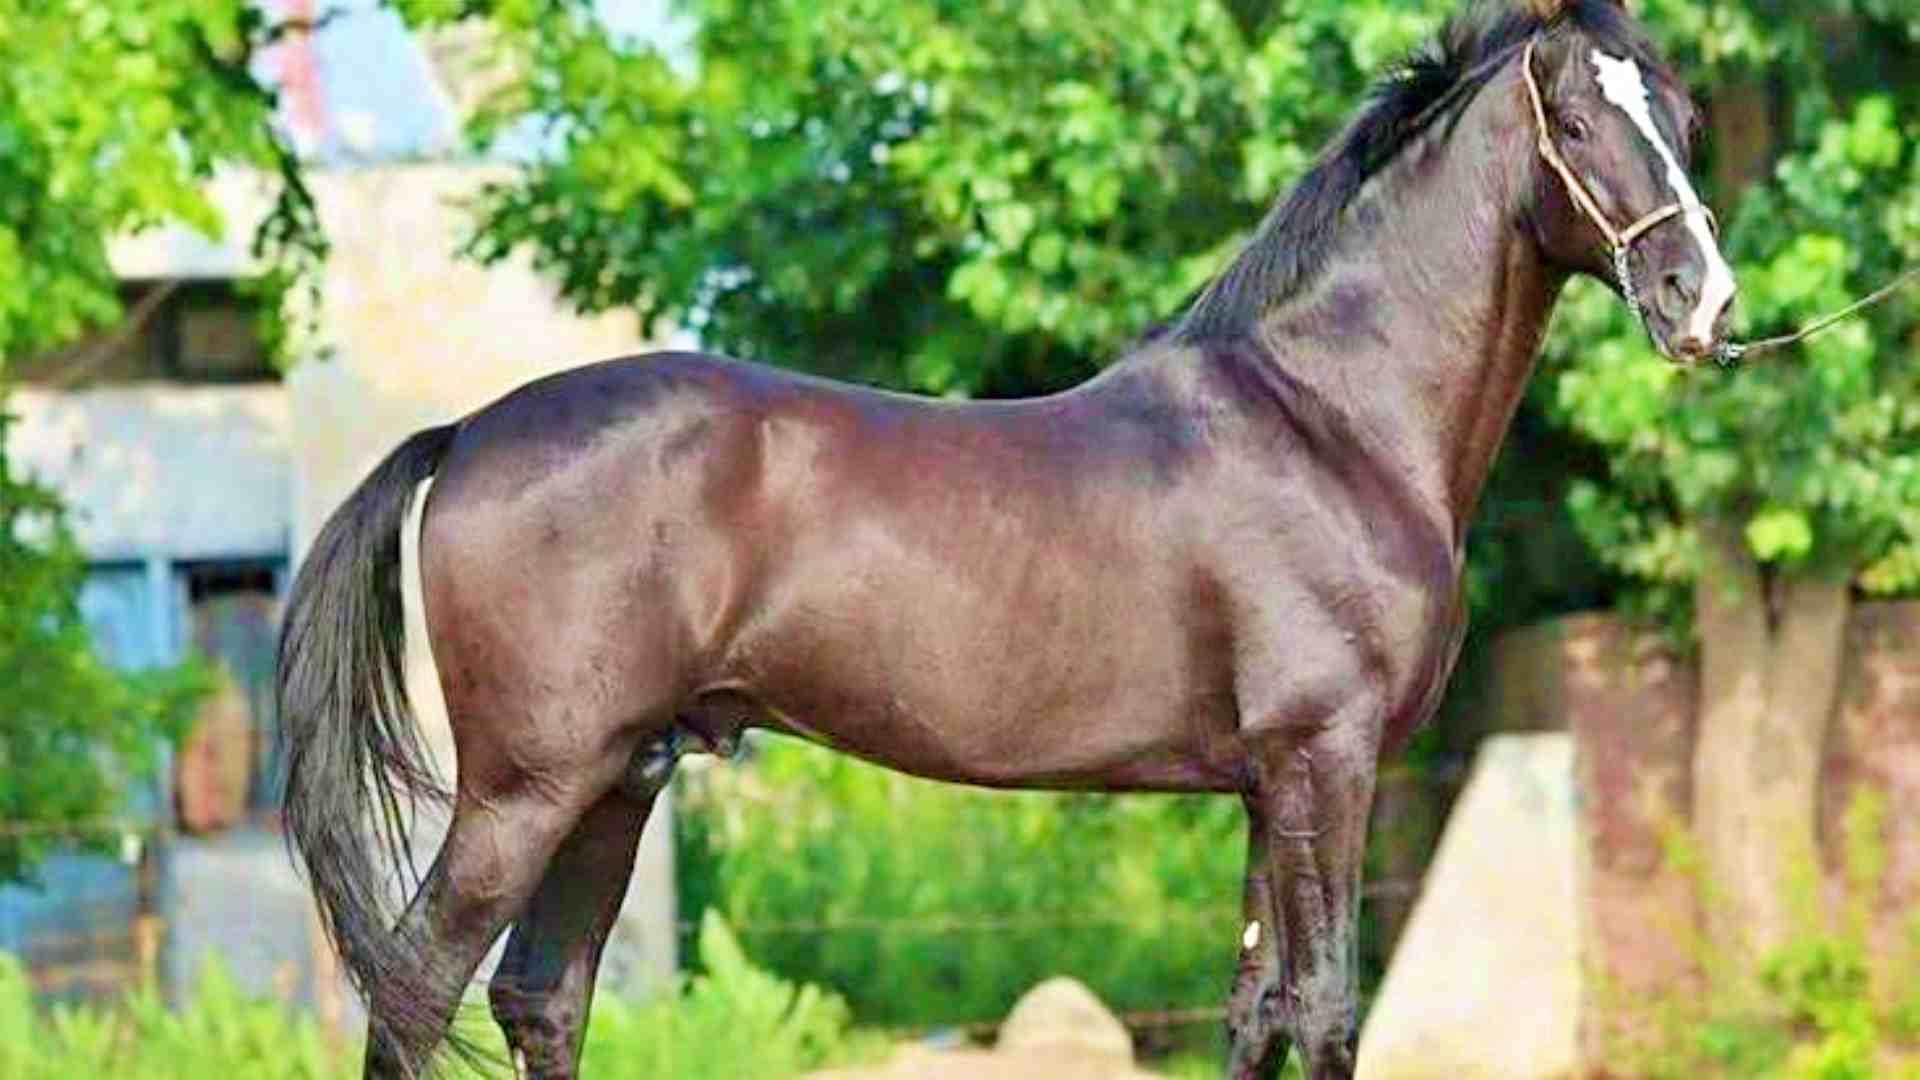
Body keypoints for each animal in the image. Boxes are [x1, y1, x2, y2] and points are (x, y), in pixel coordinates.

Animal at [277, 0, 1735, 1075]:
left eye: (1679, 114)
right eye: (1580, 120)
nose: (1703, 301)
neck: (1330, 419)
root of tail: (469, 431)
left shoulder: (1268, 787)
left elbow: (1259, 1013)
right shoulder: (1325, 765)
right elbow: (1324, 1012)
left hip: (618, 779)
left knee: (541, 998)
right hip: (526, 789)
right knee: (416, 991)